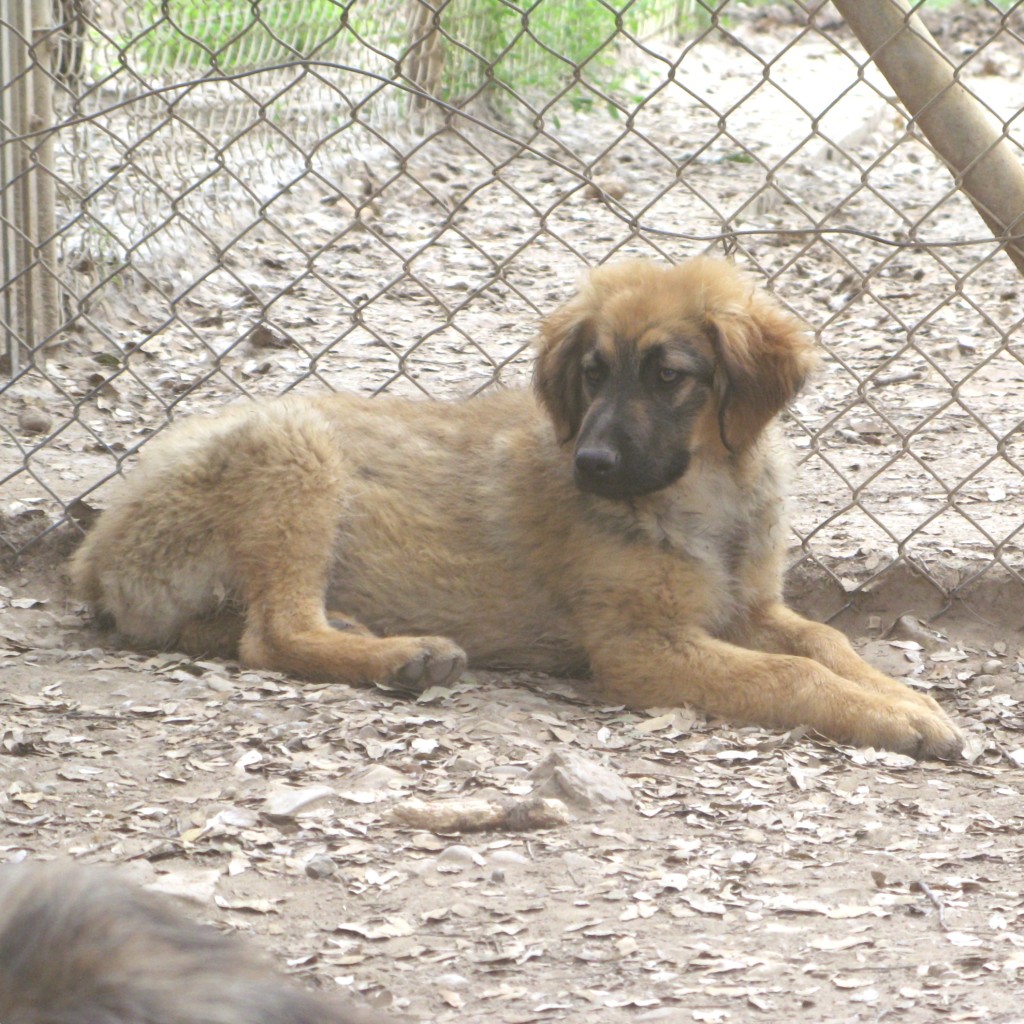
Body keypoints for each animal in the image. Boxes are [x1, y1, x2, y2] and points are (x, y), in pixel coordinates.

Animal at [68, 256, 962, 757]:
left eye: (669, 375)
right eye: (593, 373)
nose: (590, 464)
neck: (705, 496)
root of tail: (95, 551)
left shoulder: (751, 607)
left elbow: (826, 642)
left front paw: (907, 699)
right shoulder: (642, 647)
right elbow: (792, 673)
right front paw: (894, 719)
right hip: (297, 451)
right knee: (271, 633)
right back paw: (405, 656)